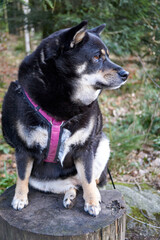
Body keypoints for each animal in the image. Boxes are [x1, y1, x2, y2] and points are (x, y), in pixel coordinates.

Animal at [1, 20, 129, 216]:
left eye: (107, 56)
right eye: (96, 57)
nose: (125, 74)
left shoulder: (85, 149)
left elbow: (88, 178)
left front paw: (92, 202)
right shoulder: (24, 149)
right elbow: (22, 176)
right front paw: (20, 199)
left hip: (103, 145)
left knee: (86, 182)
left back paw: (92, 195)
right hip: (42, 181)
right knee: (73, 186)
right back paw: (69, 197)